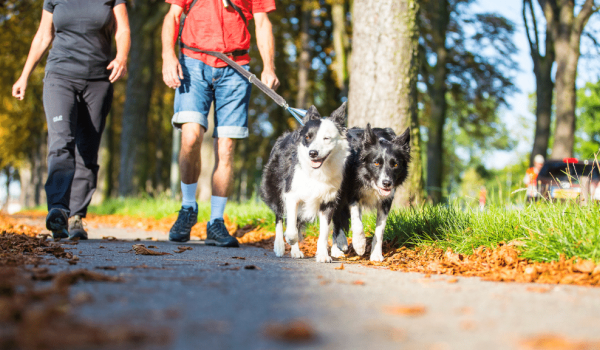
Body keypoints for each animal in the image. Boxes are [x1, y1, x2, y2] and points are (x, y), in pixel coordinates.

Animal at [258, 101, 352, 262]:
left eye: (326, 138)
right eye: (308, 137)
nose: (312, 153)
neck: (317, 172)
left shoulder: (328, 201)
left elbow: (324, 232)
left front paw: (323, 255)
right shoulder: (291, 195)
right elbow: (291, 228)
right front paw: (290, 239)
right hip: (275, 190)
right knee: (279, 218)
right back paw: (281, 247)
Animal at [328, 124, 412, 262]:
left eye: (395, 164)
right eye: (376, 163)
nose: (386, 183)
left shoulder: (386, 202)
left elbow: (380, 230)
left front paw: (376, 254)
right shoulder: (352, 194)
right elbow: (357, 223)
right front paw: (360, 244)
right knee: (336, 217)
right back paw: (338, 245)